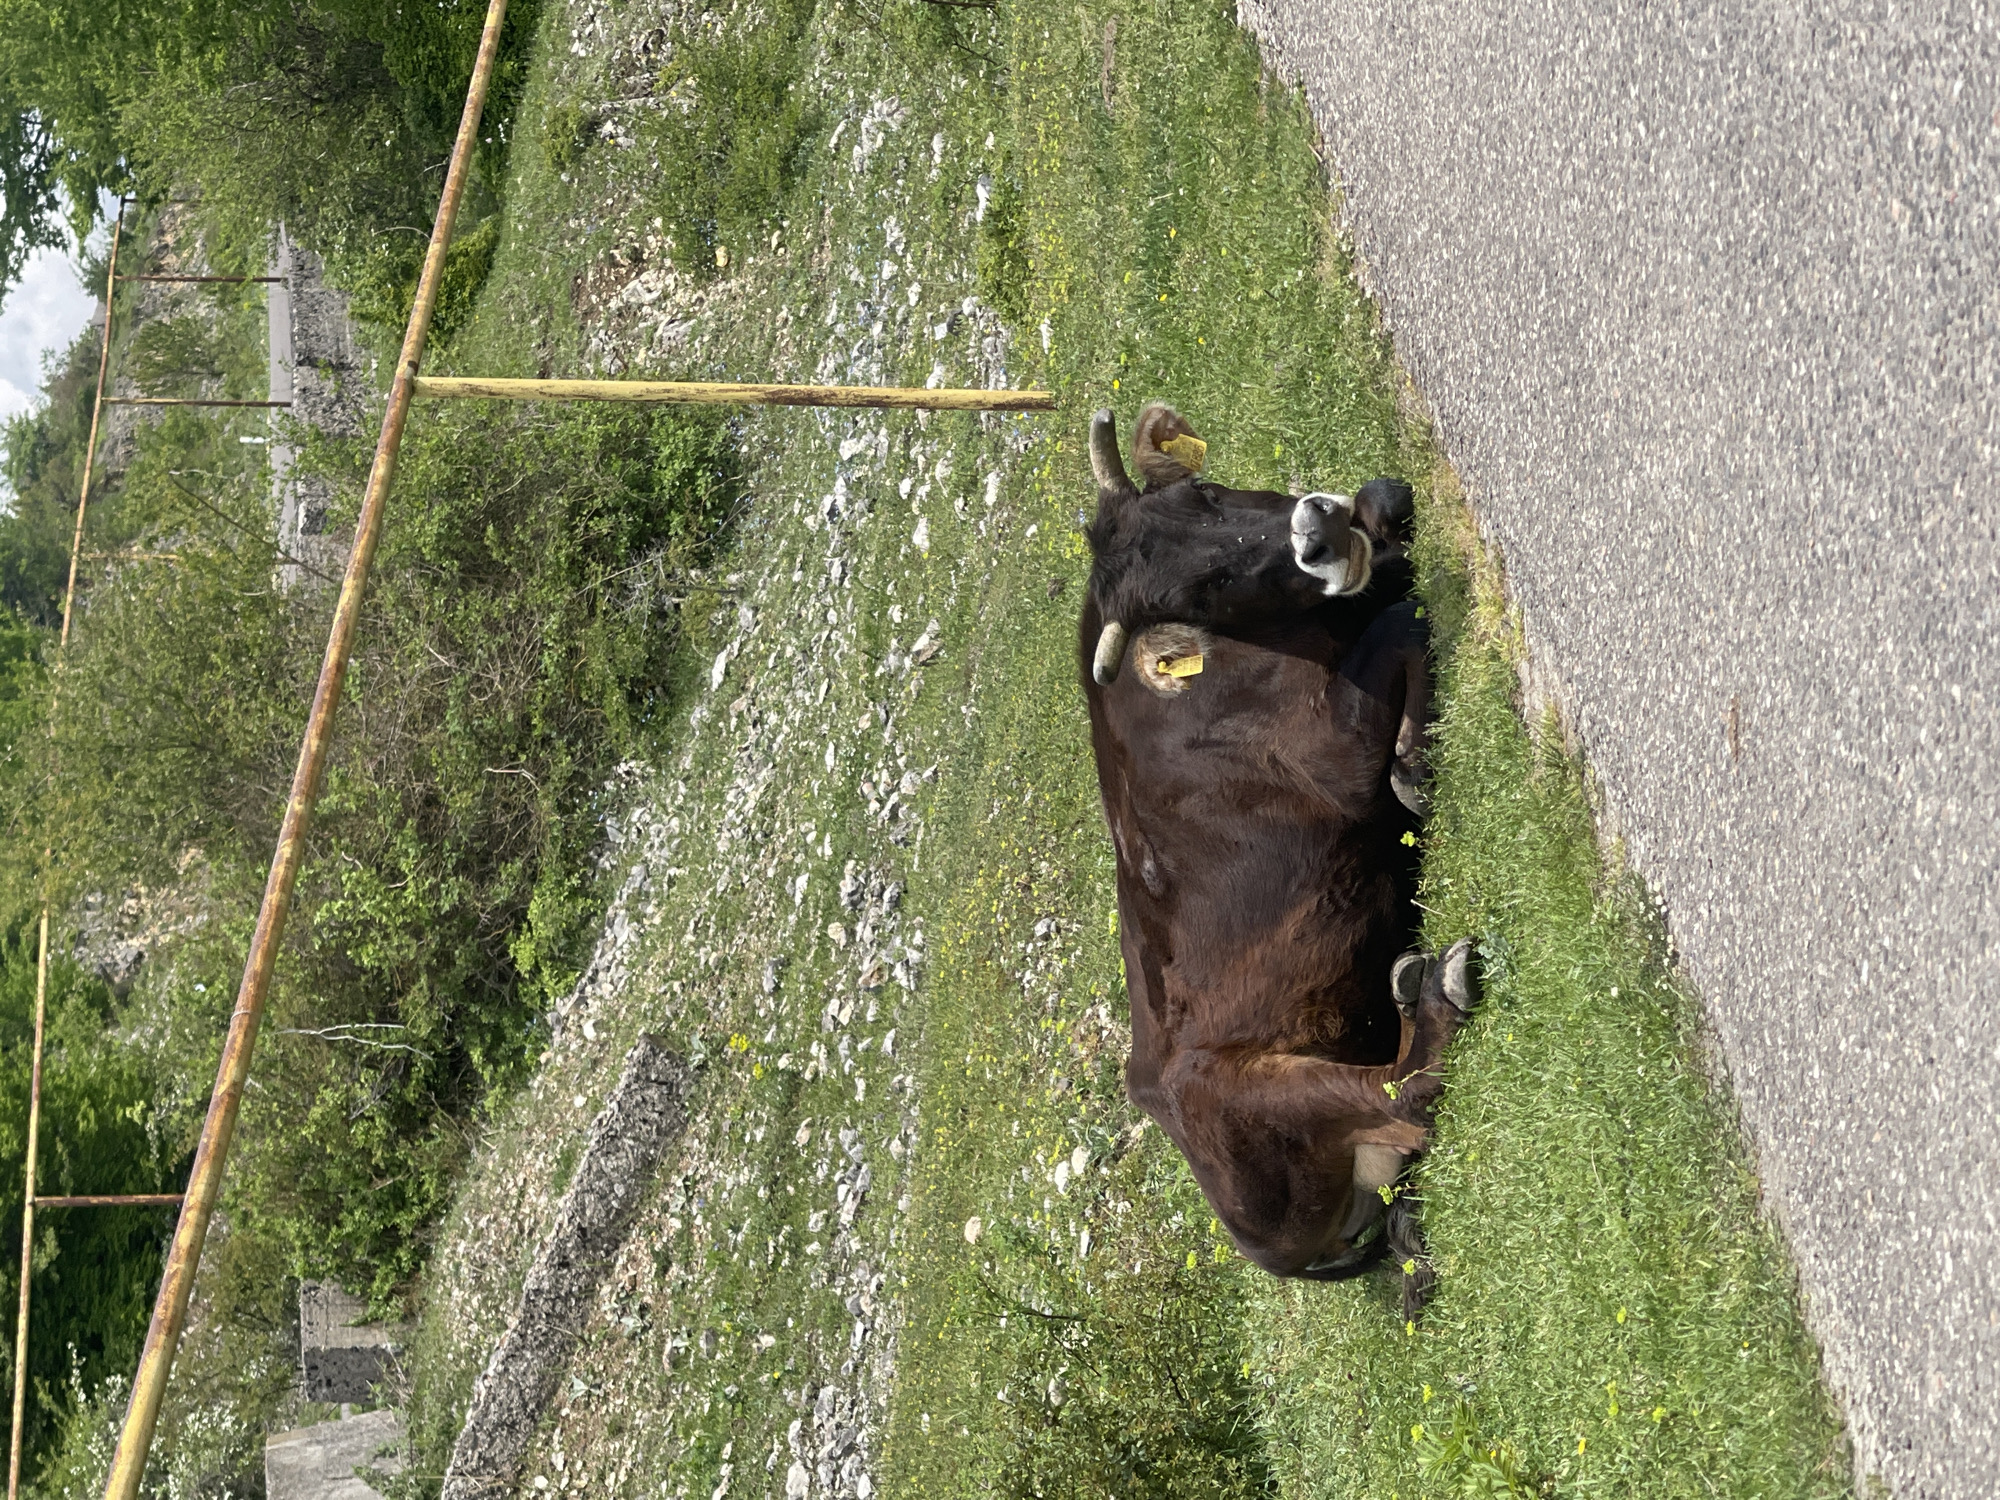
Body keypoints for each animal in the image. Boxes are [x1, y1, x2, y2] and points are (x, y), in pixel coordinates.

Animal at [1079, 403, 1479, 1311]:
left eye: (1205, 494)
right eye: (1202, 594)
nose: (1320, 529)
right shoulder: (1336, 753)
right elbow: (1405, 619)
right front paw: (1413, 768)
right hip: (1265, 1091)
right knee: (1405, 1094)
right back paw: (1438, 993)